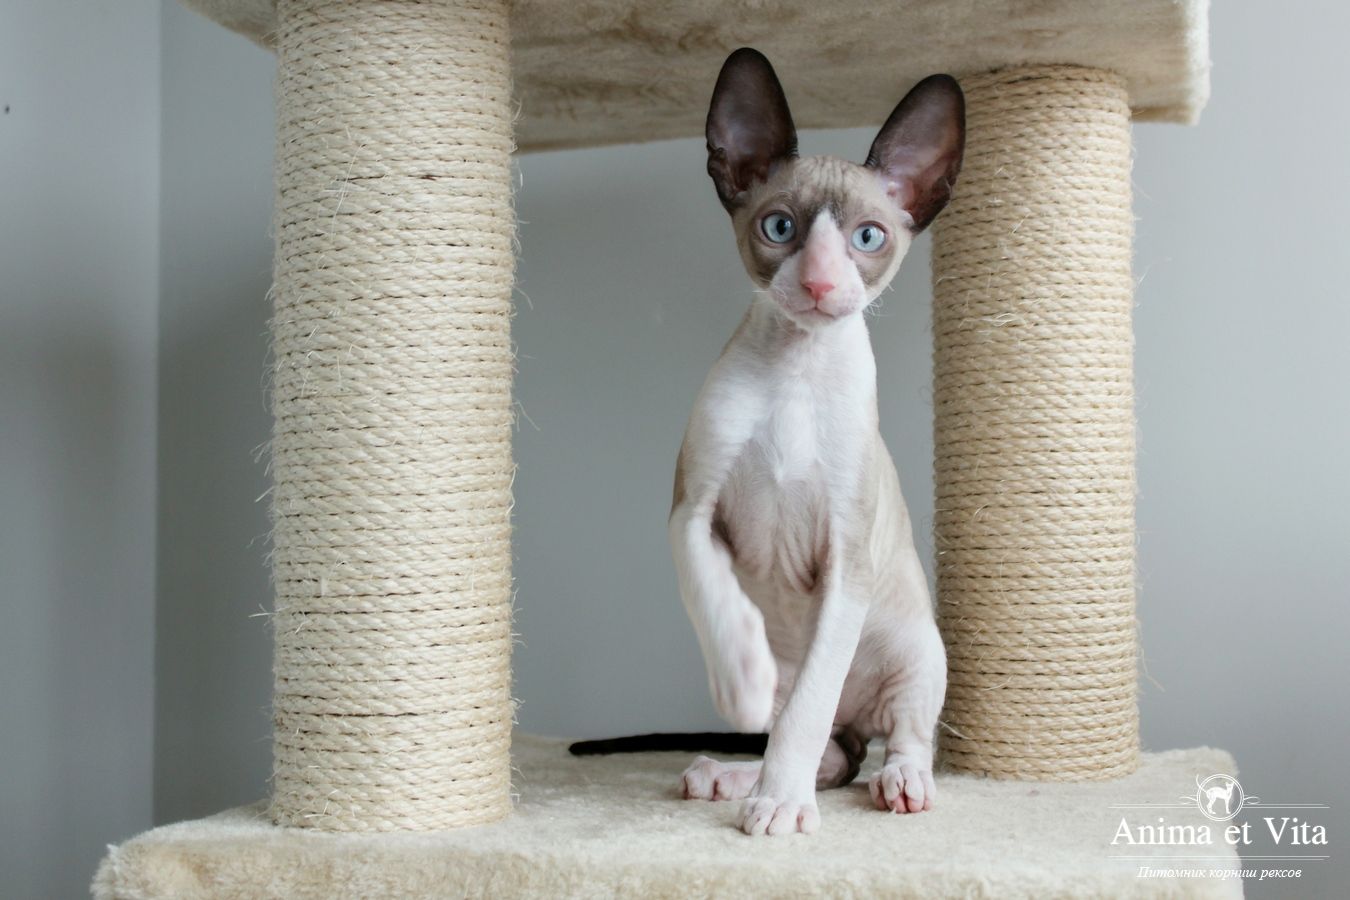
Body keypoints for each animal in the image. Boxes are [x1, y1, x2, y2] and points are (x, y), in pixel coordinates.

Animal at [667, 47, 965, 836]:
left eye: (867, 238)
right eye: (779, 227)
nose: (824, 285)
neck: (795, 371)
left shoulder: (846, 560)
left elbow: (809, 705)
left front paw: (781, 809)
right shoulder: (692, 514)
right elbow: (710, 594)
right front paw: (741, 679)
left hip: (917, 648)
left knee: (885, 739)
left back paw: (897, 784)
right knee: (832, 750)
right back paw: (730, 773)